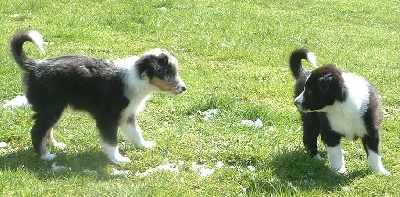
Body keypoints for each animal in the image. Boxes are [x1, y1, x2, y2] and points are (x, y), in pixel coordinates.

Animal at [9, 30, 188, 164]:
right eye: (169, 73)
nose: (184, 88)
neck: (138, 77)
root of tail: (35, 66)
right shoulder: (107, 117)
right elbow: (111, 141)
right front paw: (118, 159)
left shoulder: (127, 115)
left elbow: (136, 132)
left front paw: (144, 145)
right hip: (51, 107)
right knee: (37, 130)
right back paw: (46, 156)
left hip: (54, 108)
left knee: (47, 129)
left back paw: (55, 145)